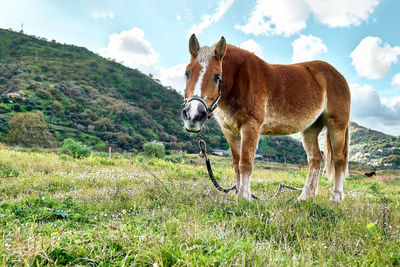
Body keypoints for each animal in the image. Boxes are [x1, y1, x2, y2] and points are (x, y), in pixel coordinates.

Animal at [181, 35, 350, 203]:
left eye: (217, 76)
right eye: (187, 73)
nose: (193, 115)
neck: (240, 78)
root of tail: (339, 76)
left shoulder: (250, 127)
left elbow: (245, 163)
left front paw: (244, 197)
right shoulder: (230, 132)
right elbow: (236, 163)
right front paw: (238, 194)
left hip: (337, 127)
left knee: (339, 159)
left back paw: (336, 197)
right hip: (310, 129)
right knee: (315, 158)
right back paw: (305, 197)